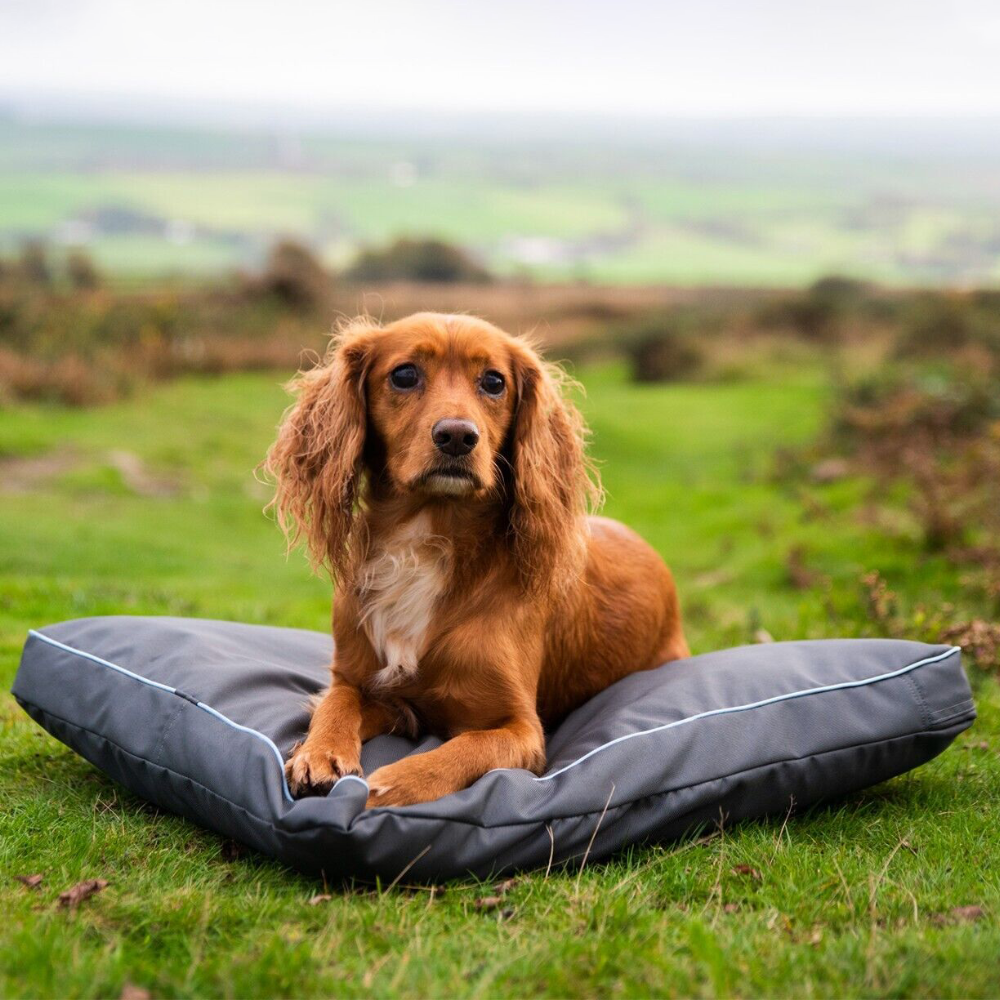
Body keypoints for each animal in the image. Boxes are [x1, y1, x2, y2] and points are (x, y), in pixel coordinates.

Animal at [266, 312, 688, 804]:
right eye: (404, 374)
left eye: (493, 381)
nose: (457, 436)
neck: (425, 540)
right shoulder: (370, 685)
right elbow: (337, 700)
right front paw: (319, 751)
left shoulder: (522, 730)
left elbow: (464, 747)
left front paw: (393, 784)